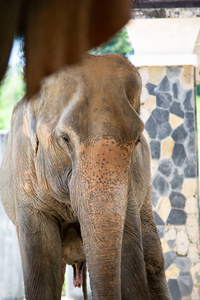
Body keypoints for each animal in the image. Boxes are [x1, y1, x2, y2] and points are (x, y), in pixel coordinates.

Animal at [0, 54, 172, 300]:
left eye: (137, 140)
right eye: (64, 139)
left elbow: (130, 253)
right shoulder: (25, 178)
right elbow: (43, 268)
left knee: (153, 260)